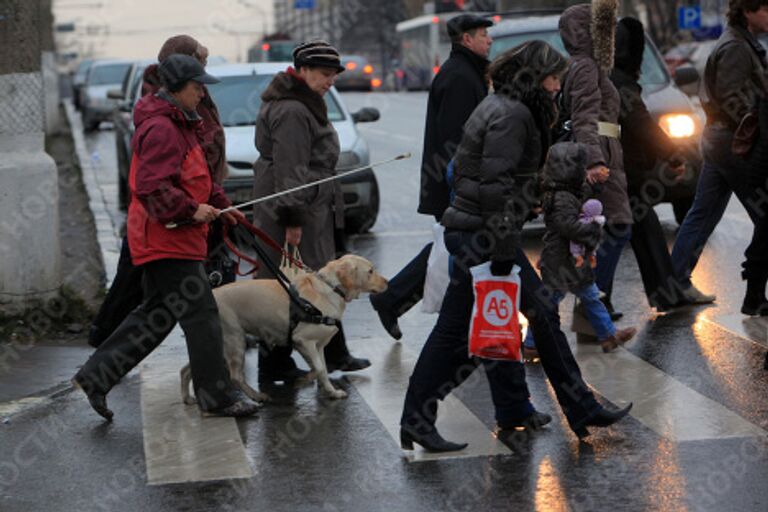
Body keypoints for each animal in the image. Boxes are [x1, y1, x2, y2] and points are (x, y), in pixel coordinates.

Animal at [178, 254, 384, 402]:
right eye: (370, 271)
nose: (386, 283)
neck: (329, 289)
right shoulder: (303, 340)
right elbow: (319, 368)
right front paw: (306, 380)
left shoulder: (318, 346)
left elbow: (322, 368)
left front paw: (330, 391)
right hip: (234, 339)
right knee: (235, 376)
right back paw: (256, 396)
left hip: (219, 344)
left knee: (187, 369)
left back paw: (188, 398)